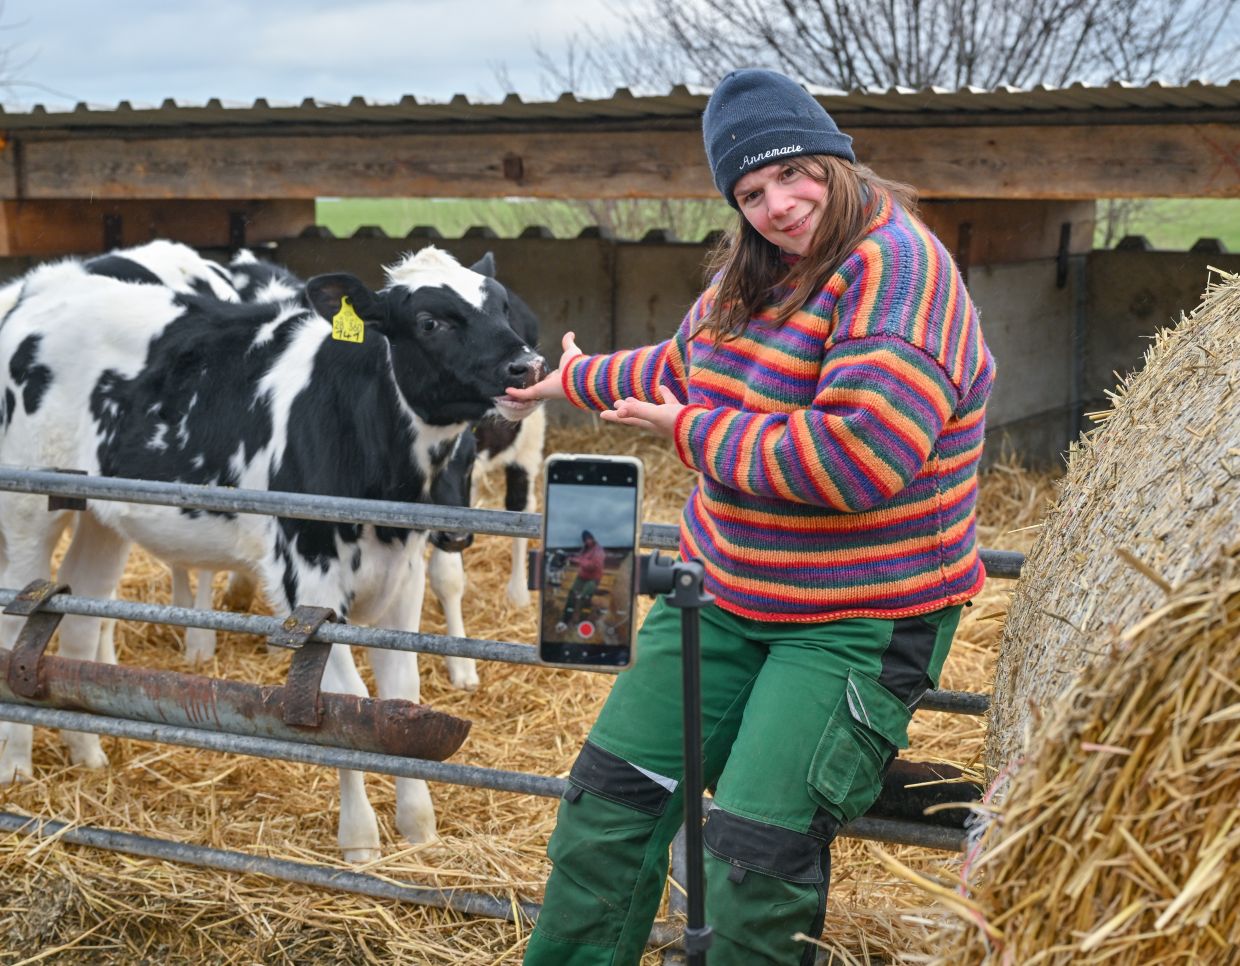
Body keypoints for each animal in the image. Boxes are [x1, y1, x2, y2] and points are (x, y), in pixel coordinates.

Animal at [0, 245, 543, 858]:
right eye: (430, 321)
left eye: (501, 306)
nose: (527, 366)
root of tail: (40, 285)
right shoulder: (306, 582)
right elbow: (343, 703)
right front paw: (360, 842)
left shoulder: (401, 580)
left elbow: (401, 695)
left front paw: (418, 830)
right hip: (25, 505)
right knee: (19, 619)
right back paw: (16, 764)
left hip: (102, 516)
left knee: (78, 618)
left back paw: (87, 753)